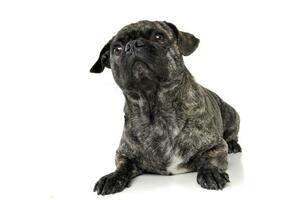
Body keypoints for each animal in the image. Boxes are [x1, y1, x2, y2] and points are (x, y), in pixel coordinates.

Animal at [90, 20, 240, 195]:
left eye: (158, 37)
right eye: (117, 49)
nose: (133, 45)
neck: (157, 110)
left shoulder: (217, 146)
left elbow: (211, 159)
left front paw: (211, 173)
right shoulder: (123, 153)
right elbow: (122, 165)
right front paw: (112, 177)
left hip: (232, 114)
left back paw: (233, 145)